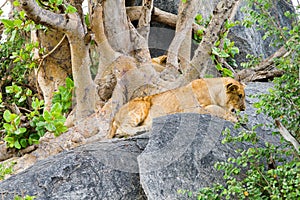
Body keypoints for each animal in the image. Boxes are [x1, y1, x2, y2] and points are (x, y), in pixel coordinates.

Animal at [108, 76, 246, 138]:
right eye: (240, 95)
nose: (244, 108)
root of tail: (113, 117)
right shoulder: (193, 108)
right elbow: (218, 110)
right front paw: (236, 119)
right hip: (142, 104)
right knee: (124, 127)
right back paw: (143, 128)